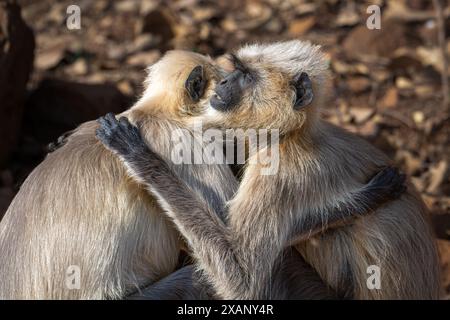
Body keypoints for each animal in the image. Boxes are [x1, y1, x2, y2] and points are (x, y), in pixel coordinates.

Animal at [96, 40, 440, 300]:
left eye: (246, 76)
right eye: (236, 70)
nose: (223, 82)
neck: (291, 136)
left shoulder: (279, 168)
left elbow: (243, 278)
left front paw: (144, 160)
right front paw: (365, 198)